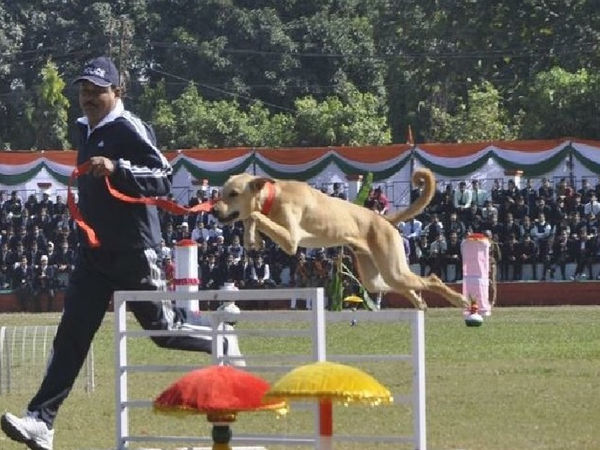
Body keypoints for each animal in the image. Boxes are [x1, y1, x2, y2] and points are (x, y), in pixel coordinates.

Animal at [212, 169, 468, 310]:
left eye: (233, 194)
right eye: (222, 193)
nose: (213, 211)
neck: (274, 197)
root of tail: (383, 219)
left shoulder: (291, 240)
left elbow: (255, 215)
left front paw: (253, 231)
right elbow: (250, 219)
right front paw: (252, 239)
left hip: (393, 269)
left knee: (432, 279)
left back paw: (461, 301)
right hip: (376, 278)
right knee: (403, 287)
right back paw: (419, 302)